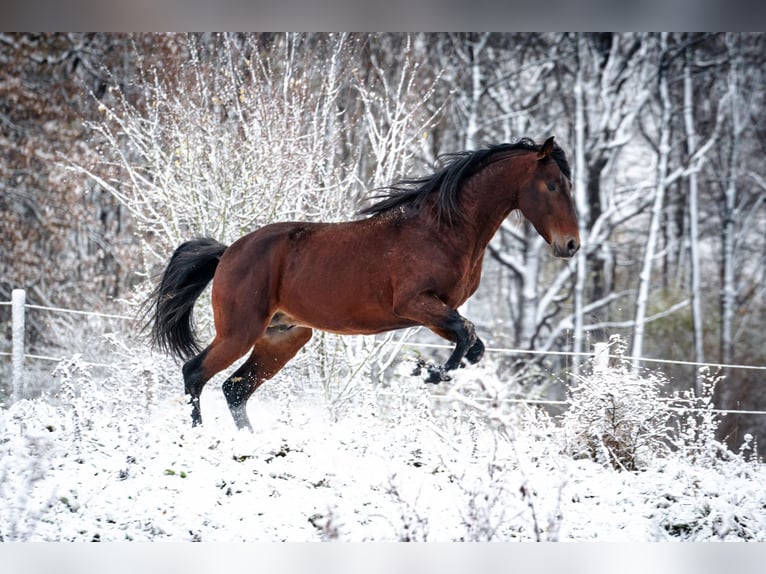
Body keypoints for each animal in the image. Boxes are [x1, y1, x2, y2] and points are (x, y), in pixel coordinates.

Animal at [146, 137, 584, 430]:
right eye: (552, 185)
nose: (570, 245)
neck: (444, 229)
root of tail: (228, 253)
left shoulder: (435, 311)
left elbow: (472, 345)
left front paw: (427, 369)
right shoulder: (415, 304)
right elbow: (465, 336)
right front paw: (424, 372)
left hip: (282, 337)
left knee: (234, 389)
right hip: (240, 331)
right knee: (194, 373)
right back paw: (200, 436)